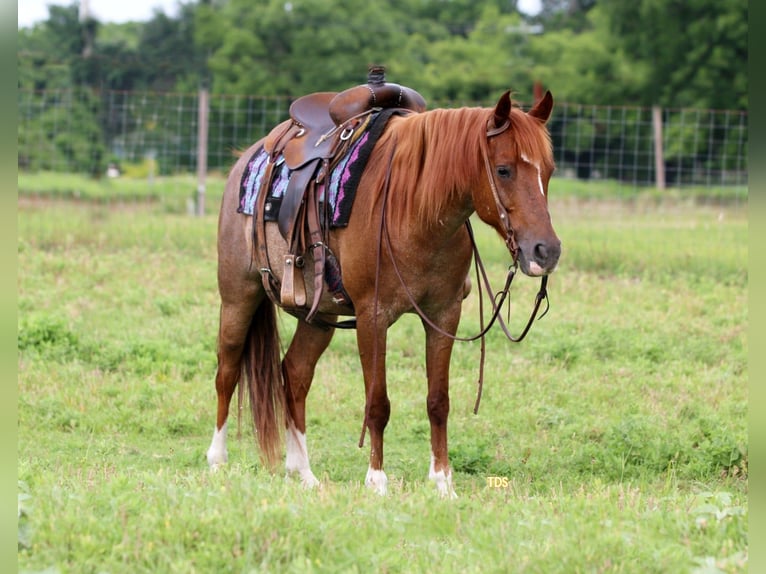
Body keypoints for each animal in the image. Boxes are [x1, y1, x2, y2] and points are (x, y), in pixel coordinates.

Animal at [206, 88, 561, 498]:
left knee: (294, 375)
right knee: (227, 371)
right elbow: (377, 403)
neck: (416, 209)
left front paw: (443, 482)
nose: (546, 251)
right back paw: (217, 461)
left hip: (319, 316)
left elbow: (438, 401)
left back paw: (303, 473)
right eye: (503, 169)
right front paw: (376, 480)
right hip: (238, 296)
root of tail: (247, 157)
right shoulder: (372, 317)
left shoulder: (444, 315)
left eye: (548, 170)